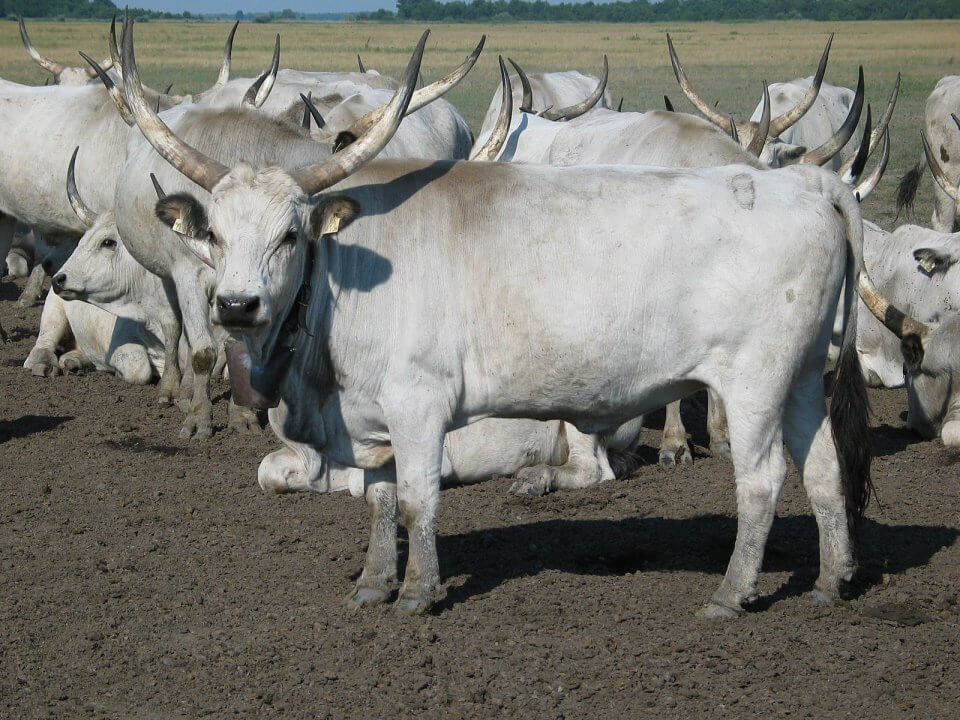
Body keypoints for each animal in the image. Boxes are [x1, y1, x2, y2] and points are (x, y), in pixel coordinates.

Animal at [120, 19, 923, 617]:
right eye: (214, 235)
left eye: (291, 233)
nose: (235, 305)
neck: (341, 277)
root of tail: (809, 184)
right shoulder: (370, 417)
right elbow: (379, 502)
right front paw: (374, 584)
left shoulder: (418, 403)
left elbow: (415, 500)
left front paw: (418, 593)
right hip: (804, 374)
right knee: (824, 469)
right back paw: (831, 580)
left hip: (754, 380)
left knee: (760, 480)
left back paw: (731, 594)